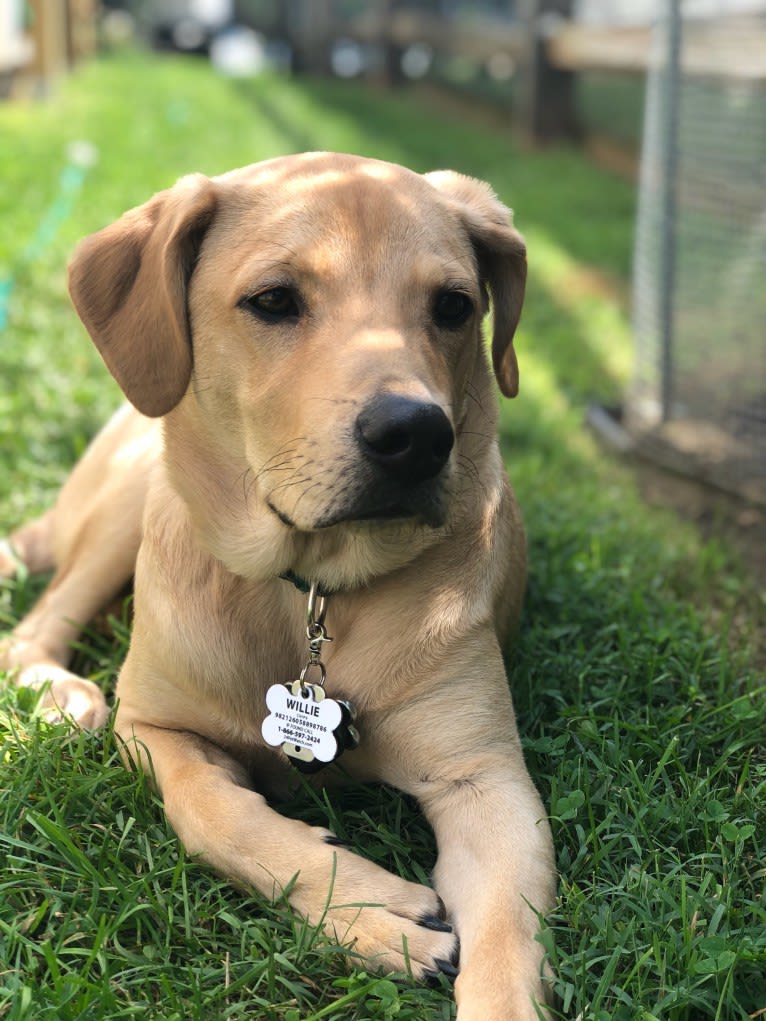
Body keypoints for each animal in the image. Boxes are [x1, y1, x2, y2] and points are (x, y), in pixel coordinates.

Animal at [0, 153, 551, 1021]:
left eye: (455, 307)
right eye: (273, 300)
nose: (417, 435)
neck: (311, 589)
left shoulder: (487, 779)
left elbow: (505, 947)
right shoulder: (153, 726)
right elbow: (216, 812)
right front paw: (372, 907)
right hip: (130, 497)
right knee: (33, 627)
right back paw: (62, 692)